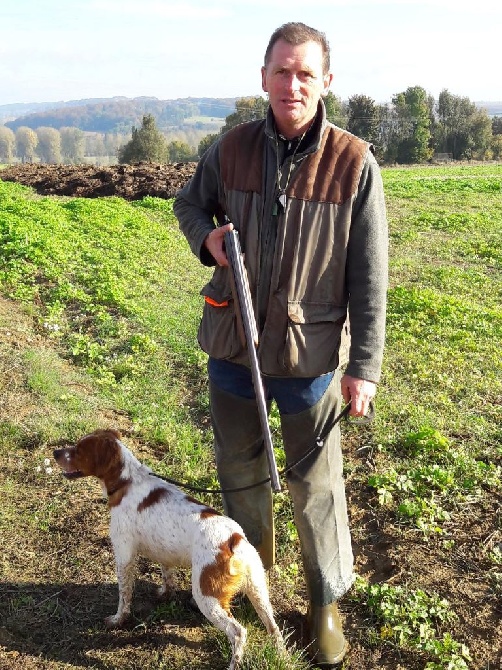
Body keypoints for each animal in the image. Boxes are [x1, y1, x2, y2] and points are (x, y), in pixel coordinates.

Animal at [53, 430, 284, 670]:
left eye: (79, 449)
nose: (55, 452)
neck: (128, 481)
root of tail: (233, 539)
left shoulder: (124, 556)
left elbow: (124, 596)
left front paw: (118, 620)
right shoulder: (164, 552)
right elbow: (167, 576)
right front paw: (165, 594)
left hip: (207, 597)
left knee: (238, 632)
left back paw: (233, 664)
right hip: (258, 591)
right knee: (274, 628)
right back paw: (282, 656)